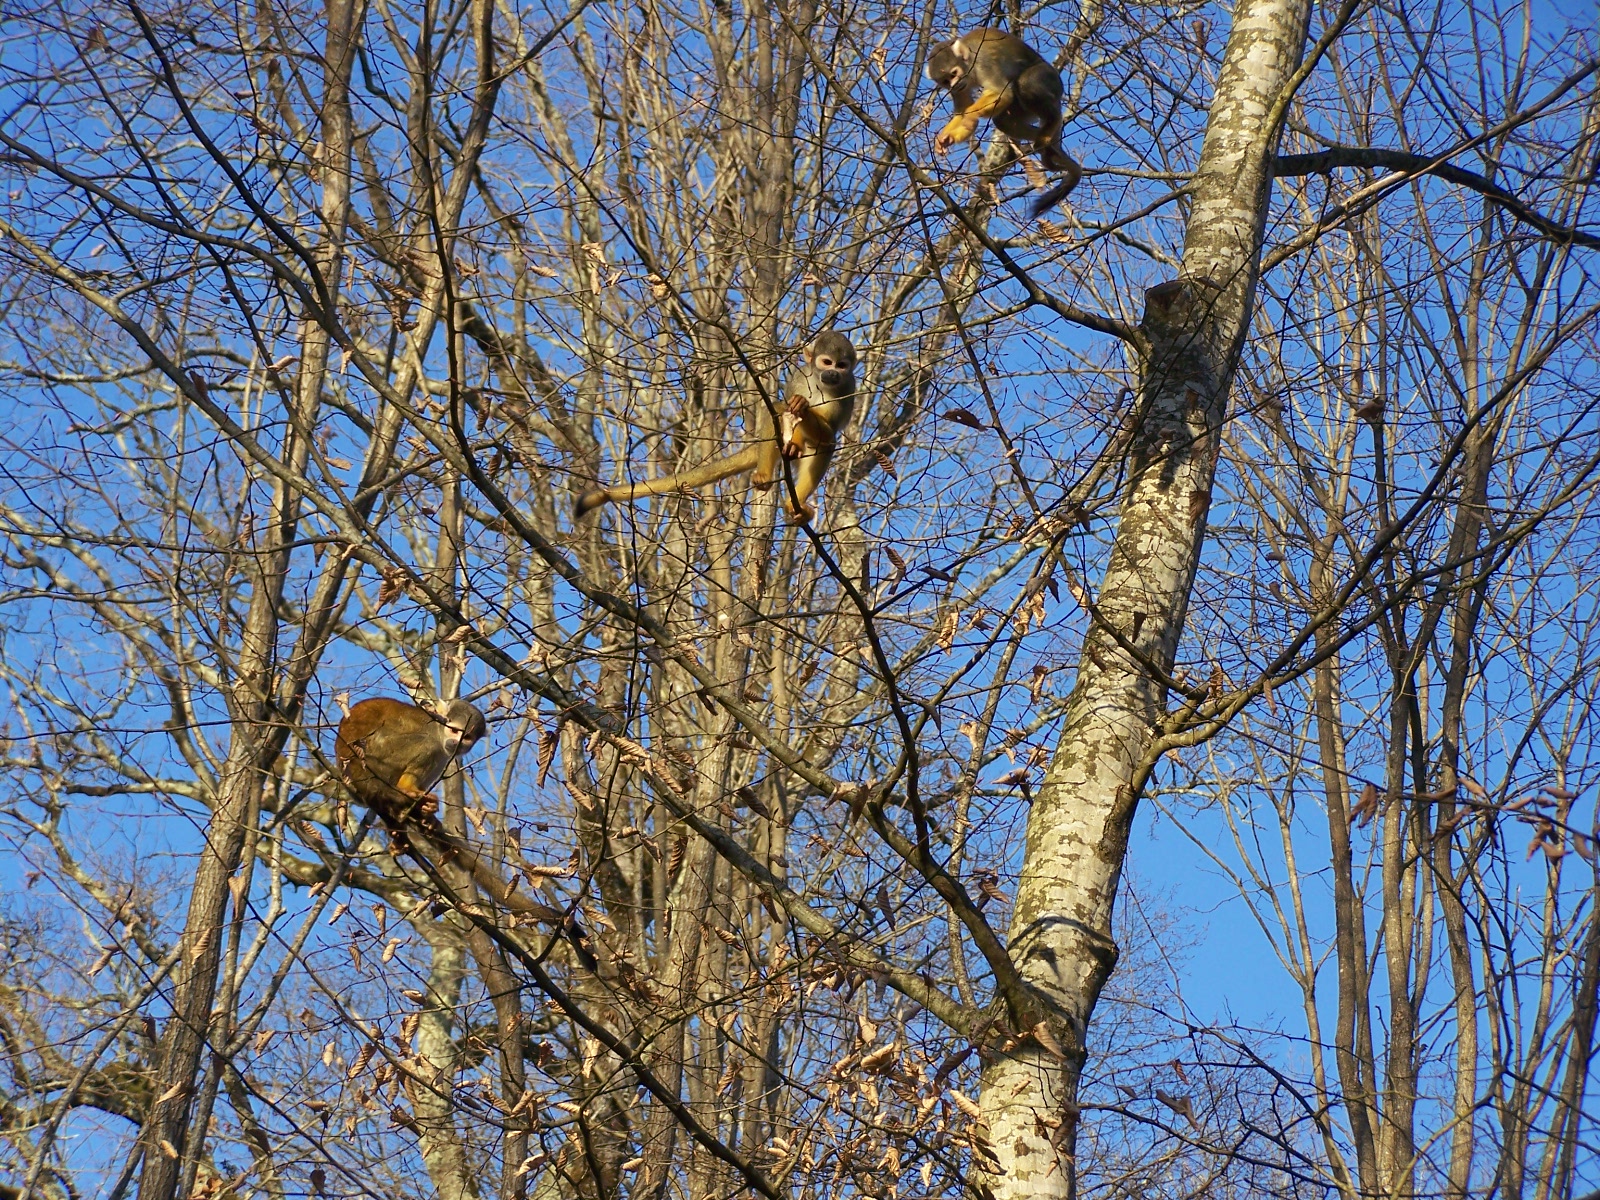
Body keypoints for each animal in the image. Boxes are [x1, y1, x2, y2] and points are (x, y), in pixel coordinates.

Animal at [335, 697, 488, 825]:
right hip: (379, 754)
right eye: (454, 731)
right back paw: (406, 788)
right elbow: (431, 745)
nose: (456, 743)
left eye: (467, 737)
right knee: (428, 744)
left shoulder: (445, 754)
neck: (439, 730)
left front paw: (427, 810)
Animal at [574, 331, 858, 523]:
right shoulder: (801, 375)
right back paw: (770, 470)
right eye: (827, 362)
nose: (833, 373)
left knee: (825, 443)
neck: (820, 383)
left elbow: (829, 433)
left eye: (842, 366)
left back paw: (794, 503)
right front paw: (796, 410)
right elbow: (784, 409)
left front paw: (804, 409)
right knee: (777, 411)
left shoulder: (848, 388)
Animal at [924, 28, 1082, 217]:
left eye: (953, 74)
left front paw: (969, 116)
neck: (970, 66)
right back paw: (1045, 140)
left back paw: (1052, 122)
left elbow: (1002, 94)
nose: (953, 85)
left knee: (1025, 84)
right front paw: (946, 139)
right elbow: (962, 110)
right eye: (946, 81)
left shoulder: (983, 61)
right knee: (1003, 120)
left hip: (1050, 80)